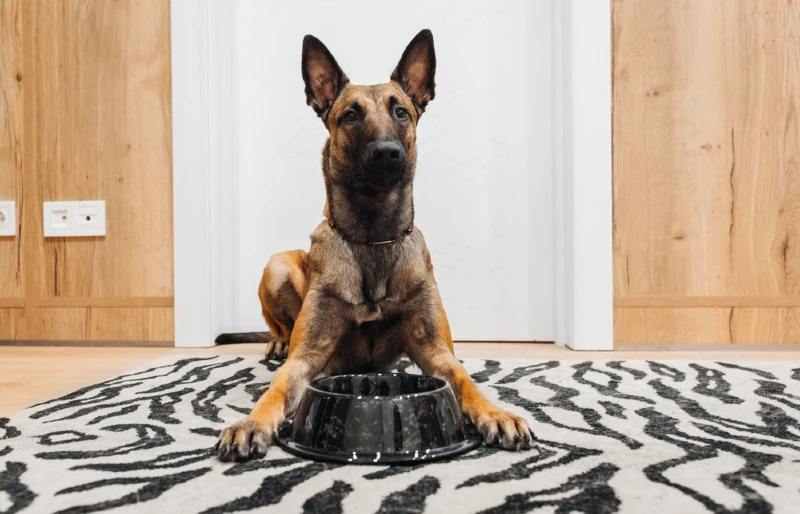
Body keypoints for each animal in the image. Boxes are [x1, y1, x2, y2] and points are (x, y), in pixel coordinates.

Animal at [216, 28, 536, 460]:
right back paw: (277, 342)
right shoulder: (308, 356)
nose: (387, 153)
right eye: (350, 115)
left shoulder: (436, 351)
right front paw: (251, 423)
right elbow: (277, 388)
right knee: (277, 327)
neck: (373, 236)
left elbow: (466, 381)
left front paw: (496, 413)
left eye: (400, 111)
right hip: (277, 264)